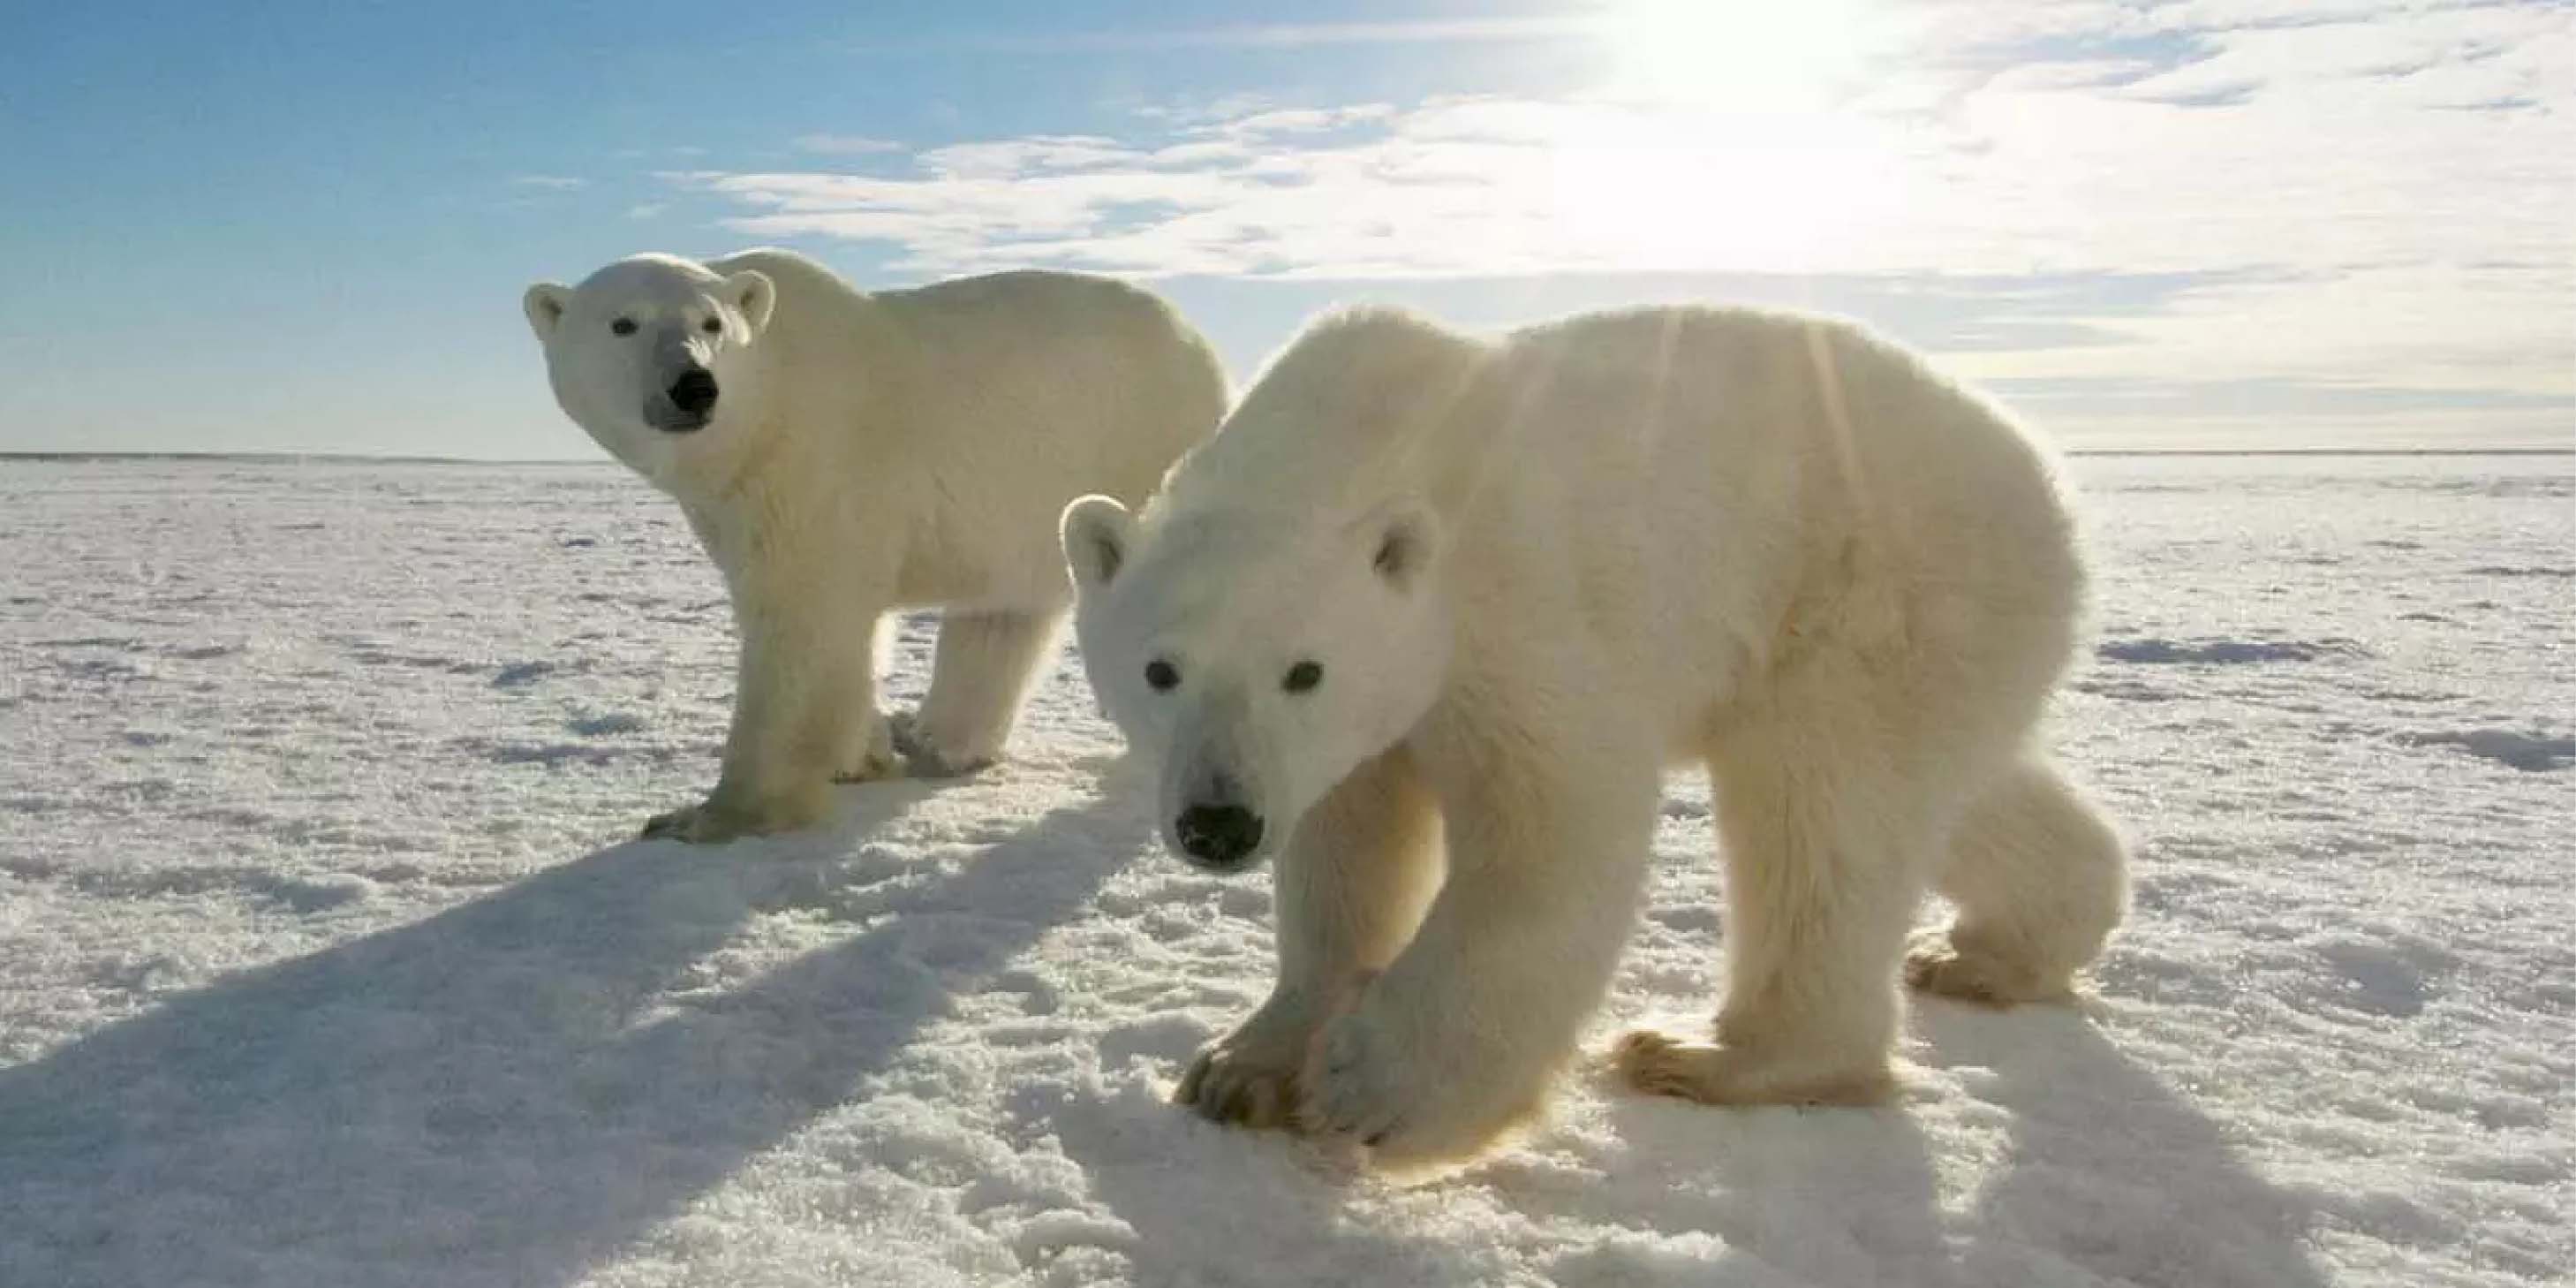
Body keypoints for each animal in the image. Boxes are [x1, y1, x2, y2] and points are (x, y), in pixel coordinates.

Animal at [523, 248, 1226, 845]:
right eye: (623, 323)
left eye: (712, 322)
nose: (694, 385)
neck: (766, 403)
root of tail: (1201, 344)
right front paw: (864, 755)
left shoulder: (811, 464)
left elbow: (802, 625)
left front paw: (713, 816)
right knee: (1003, 614)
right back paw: (935, 740)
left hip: (1142, 443)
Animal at [1055, 304, 2122, 1169]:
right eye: (1160, 671)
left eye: (1303, 669)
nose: (1219, 824)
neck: (1354, 442)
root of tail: (2044, 480)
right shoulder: (1338, 740)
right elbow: (1345, 849)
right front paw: (1241, 1066)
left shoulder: (1505, 609)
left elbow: (1550, 821)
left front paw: (1375, 1088)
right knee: (1950, 788)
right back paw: (1989, 952)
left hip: (1869, 584)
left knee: (1821, 804)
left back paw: (1720, 1053)